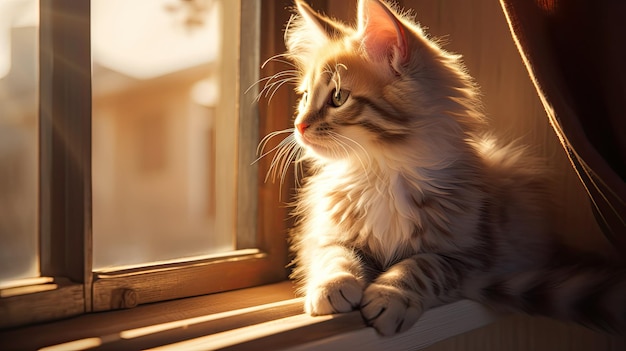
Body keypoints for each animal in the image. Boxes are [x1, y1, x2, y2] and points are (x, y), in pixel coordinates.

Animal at [256, 0, 620, 336]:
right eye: (305, 98)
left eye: (338, 98)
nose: (299, 126)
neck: (381, 172)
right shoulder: (323, 234)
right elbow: (335, 256)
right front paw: (333, 286)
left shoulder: (470, 254)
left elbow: (419, 265)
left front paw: (389, 295)